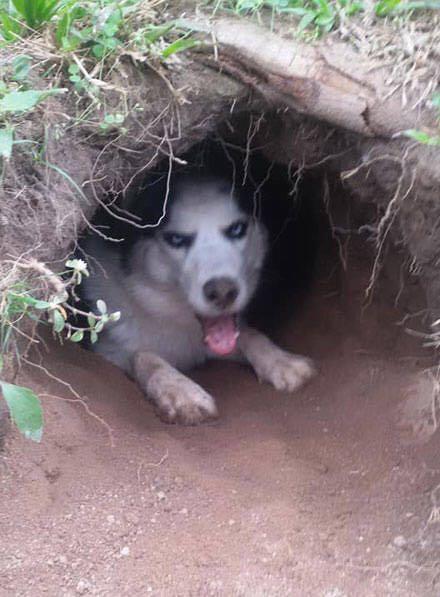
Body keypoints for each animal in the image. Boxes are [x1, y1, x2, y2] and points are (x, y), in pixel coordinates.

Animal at [81, 172, 314, 424]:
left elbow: (250, 334)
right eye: (176, 239)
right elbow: (144, 356)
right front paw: (181, 391)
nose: (223, 292)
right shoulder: (107, 347)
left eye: (237, 229)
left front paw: (281, 361)